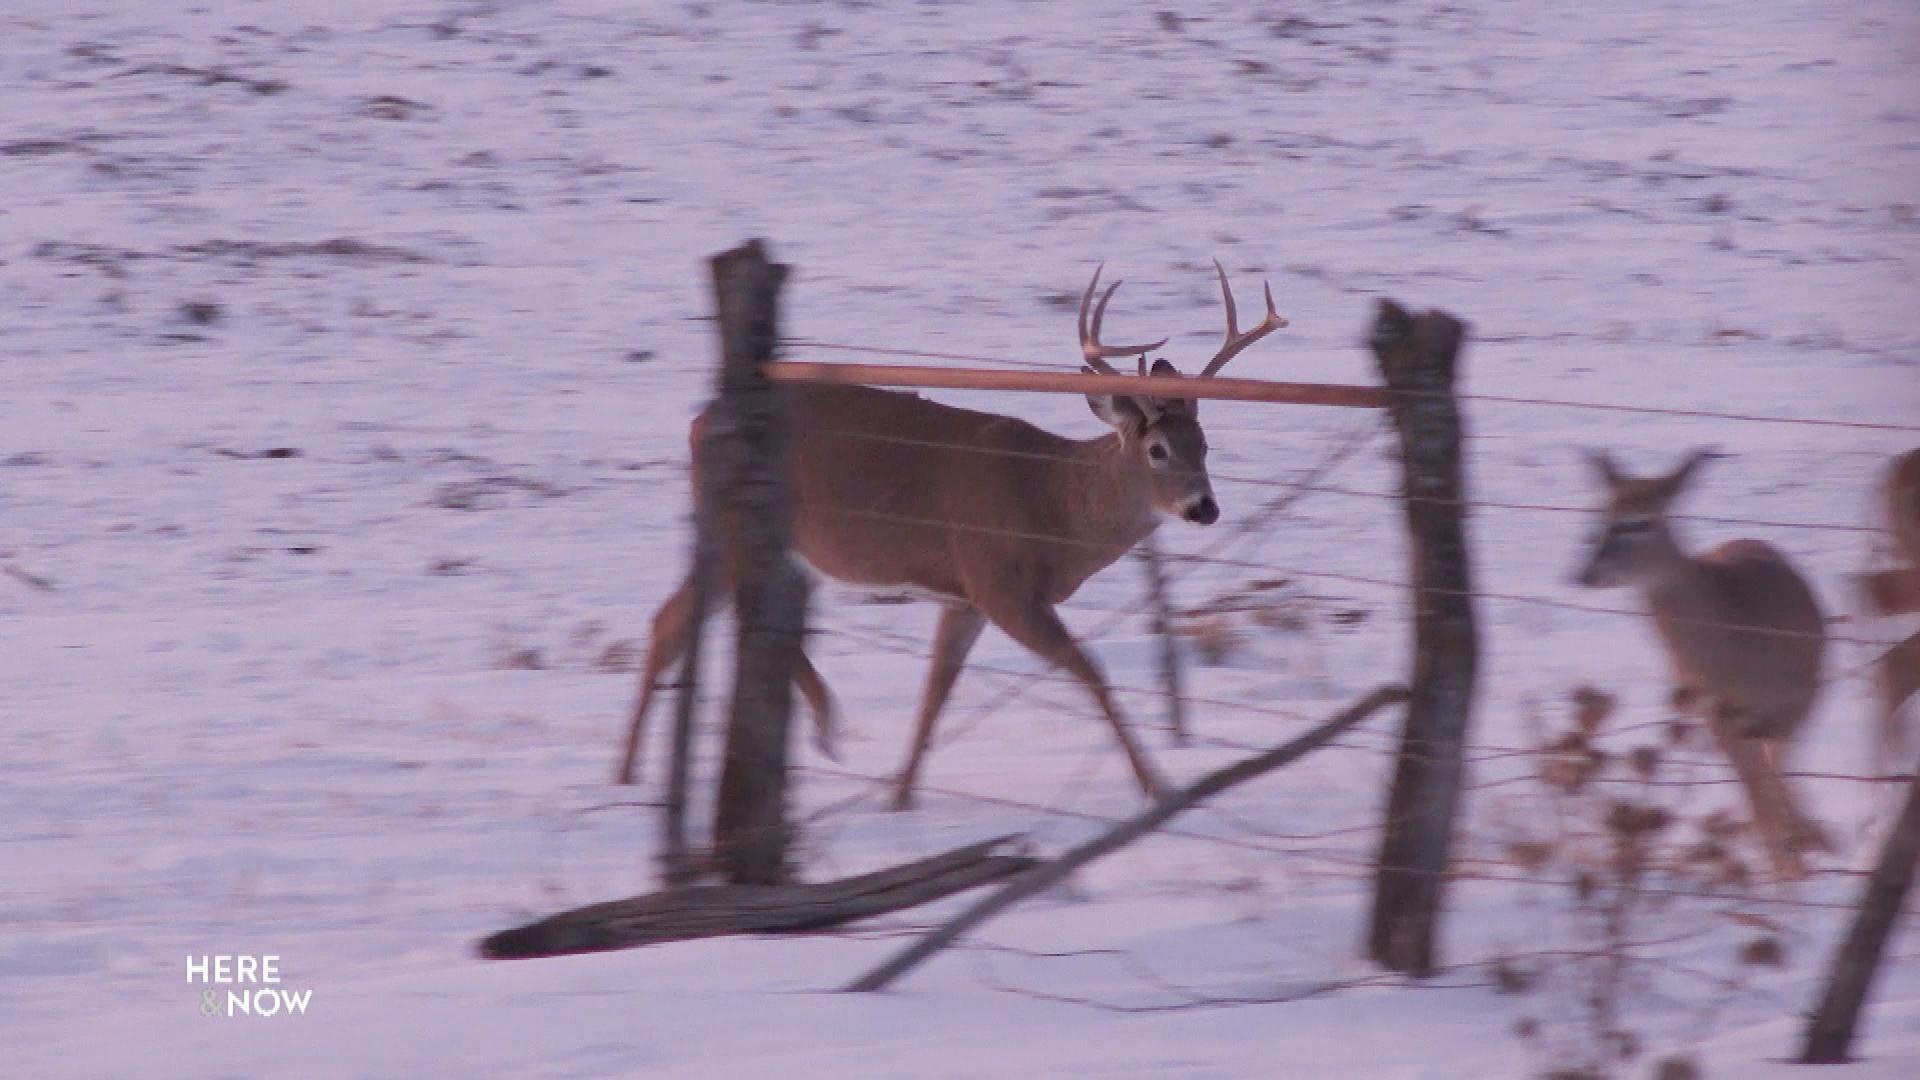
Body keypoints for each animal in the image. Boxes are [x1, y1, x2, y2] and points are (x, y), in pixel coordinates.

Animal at [1574, 445, 1827, 876]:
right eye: (1599, 516)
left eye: (1640, 522)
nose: (1584, 574)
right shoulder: (1717, 714)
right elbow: (1757, 794)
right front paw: (1783, 870)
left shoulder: (1792, 706)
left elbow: (1774, 778)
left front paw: (1795, 864)